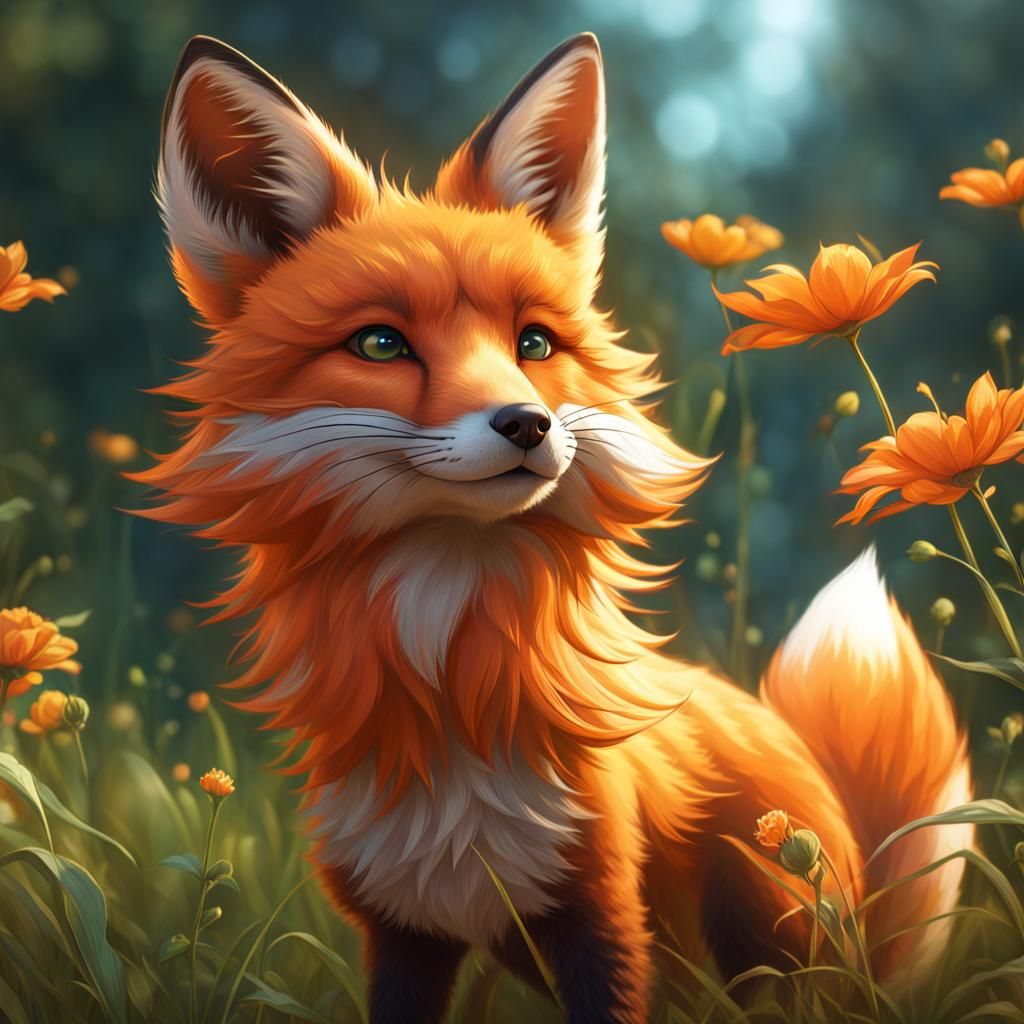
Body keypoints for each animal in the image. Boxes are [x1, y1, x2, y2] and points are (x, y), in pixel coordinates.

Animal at [138, 32, 974, 1024]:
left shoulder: (601, 912)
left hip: (772, 951)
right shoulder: (401, 929)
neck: (453, 701)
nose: (529, 425)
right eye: (380, 344)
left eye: (533, 344)